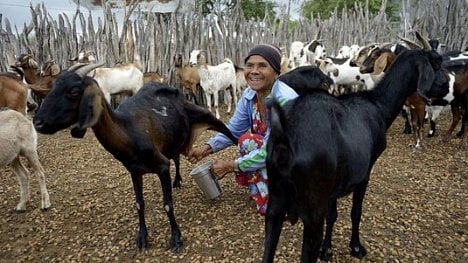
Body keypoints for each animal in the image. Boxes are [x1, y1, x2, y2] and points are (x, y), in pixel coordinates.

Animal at [33, 63, 238, 252]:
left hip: (204, 115)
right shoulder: (134, 171)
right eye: (52, 86)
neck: (129, 131)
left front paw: (176, 239)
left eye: (74, 91)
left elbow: (167, 204)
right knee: (177, 157)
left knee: (230, 135)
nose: (38, 122)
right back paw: (178, 180)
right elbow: (139, 204)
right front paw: (142, 238)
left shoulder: (161, 166)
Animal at [264, 48, 450, 262]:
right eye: (437, 63)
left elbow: (333, 214)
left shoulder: (334, 185)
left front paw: (327, 249)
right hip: (313, 211)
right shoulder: (364, 173)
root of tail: (285, 136)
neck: (377, 104)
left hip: (275, 204)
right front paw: (356, 247)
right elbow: (356, 212)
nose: (447, 85)